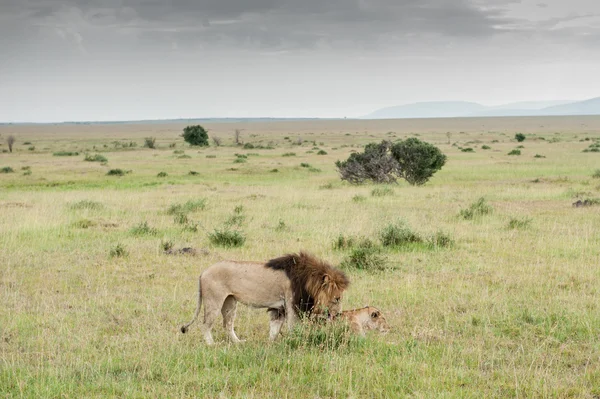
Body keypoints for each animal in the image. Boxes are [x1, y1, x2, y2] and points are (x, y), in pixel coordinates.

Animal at [179, 253, 346, 344]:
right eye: (337, 298)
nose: (339, 314)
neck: (308, 280)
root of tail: (203, 272)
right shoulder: (291, 304)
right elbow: (293, 327)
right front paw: (296, 341)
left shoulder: (280, 308)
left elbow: (274, 329)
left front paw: (270, 343)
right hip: (214, 300)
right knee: (206, 324)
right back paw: (211, 344)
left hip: (230, 302)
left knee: (227, 324)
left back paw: (238, 342)